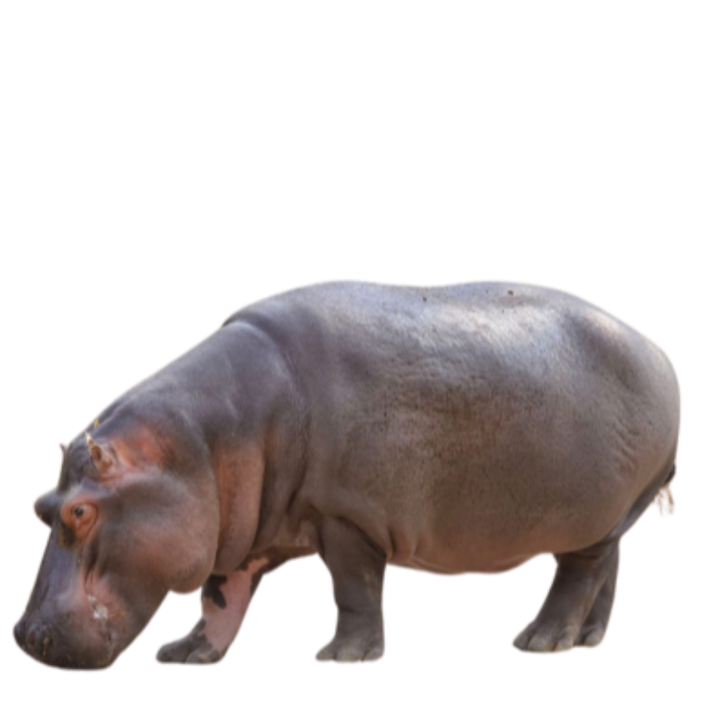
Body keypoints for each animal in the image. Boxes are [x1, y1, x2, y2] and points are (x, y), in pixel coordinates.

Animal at [11, 278, 683, 671]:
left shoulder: (346, 515)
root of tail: (656, 349)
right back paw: (587, 639)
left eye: (82, 512)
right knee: (606, 572)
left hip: (595, 513)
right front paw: (186, 652)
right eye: (40, 504)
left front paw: (342, 658)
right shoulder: (233, 529)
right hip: (611, 515)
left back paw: (540, 641)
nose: (24, 634)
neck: (195, 445)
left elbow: (354, 588)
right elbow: (221, 597)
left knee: (578, 577)